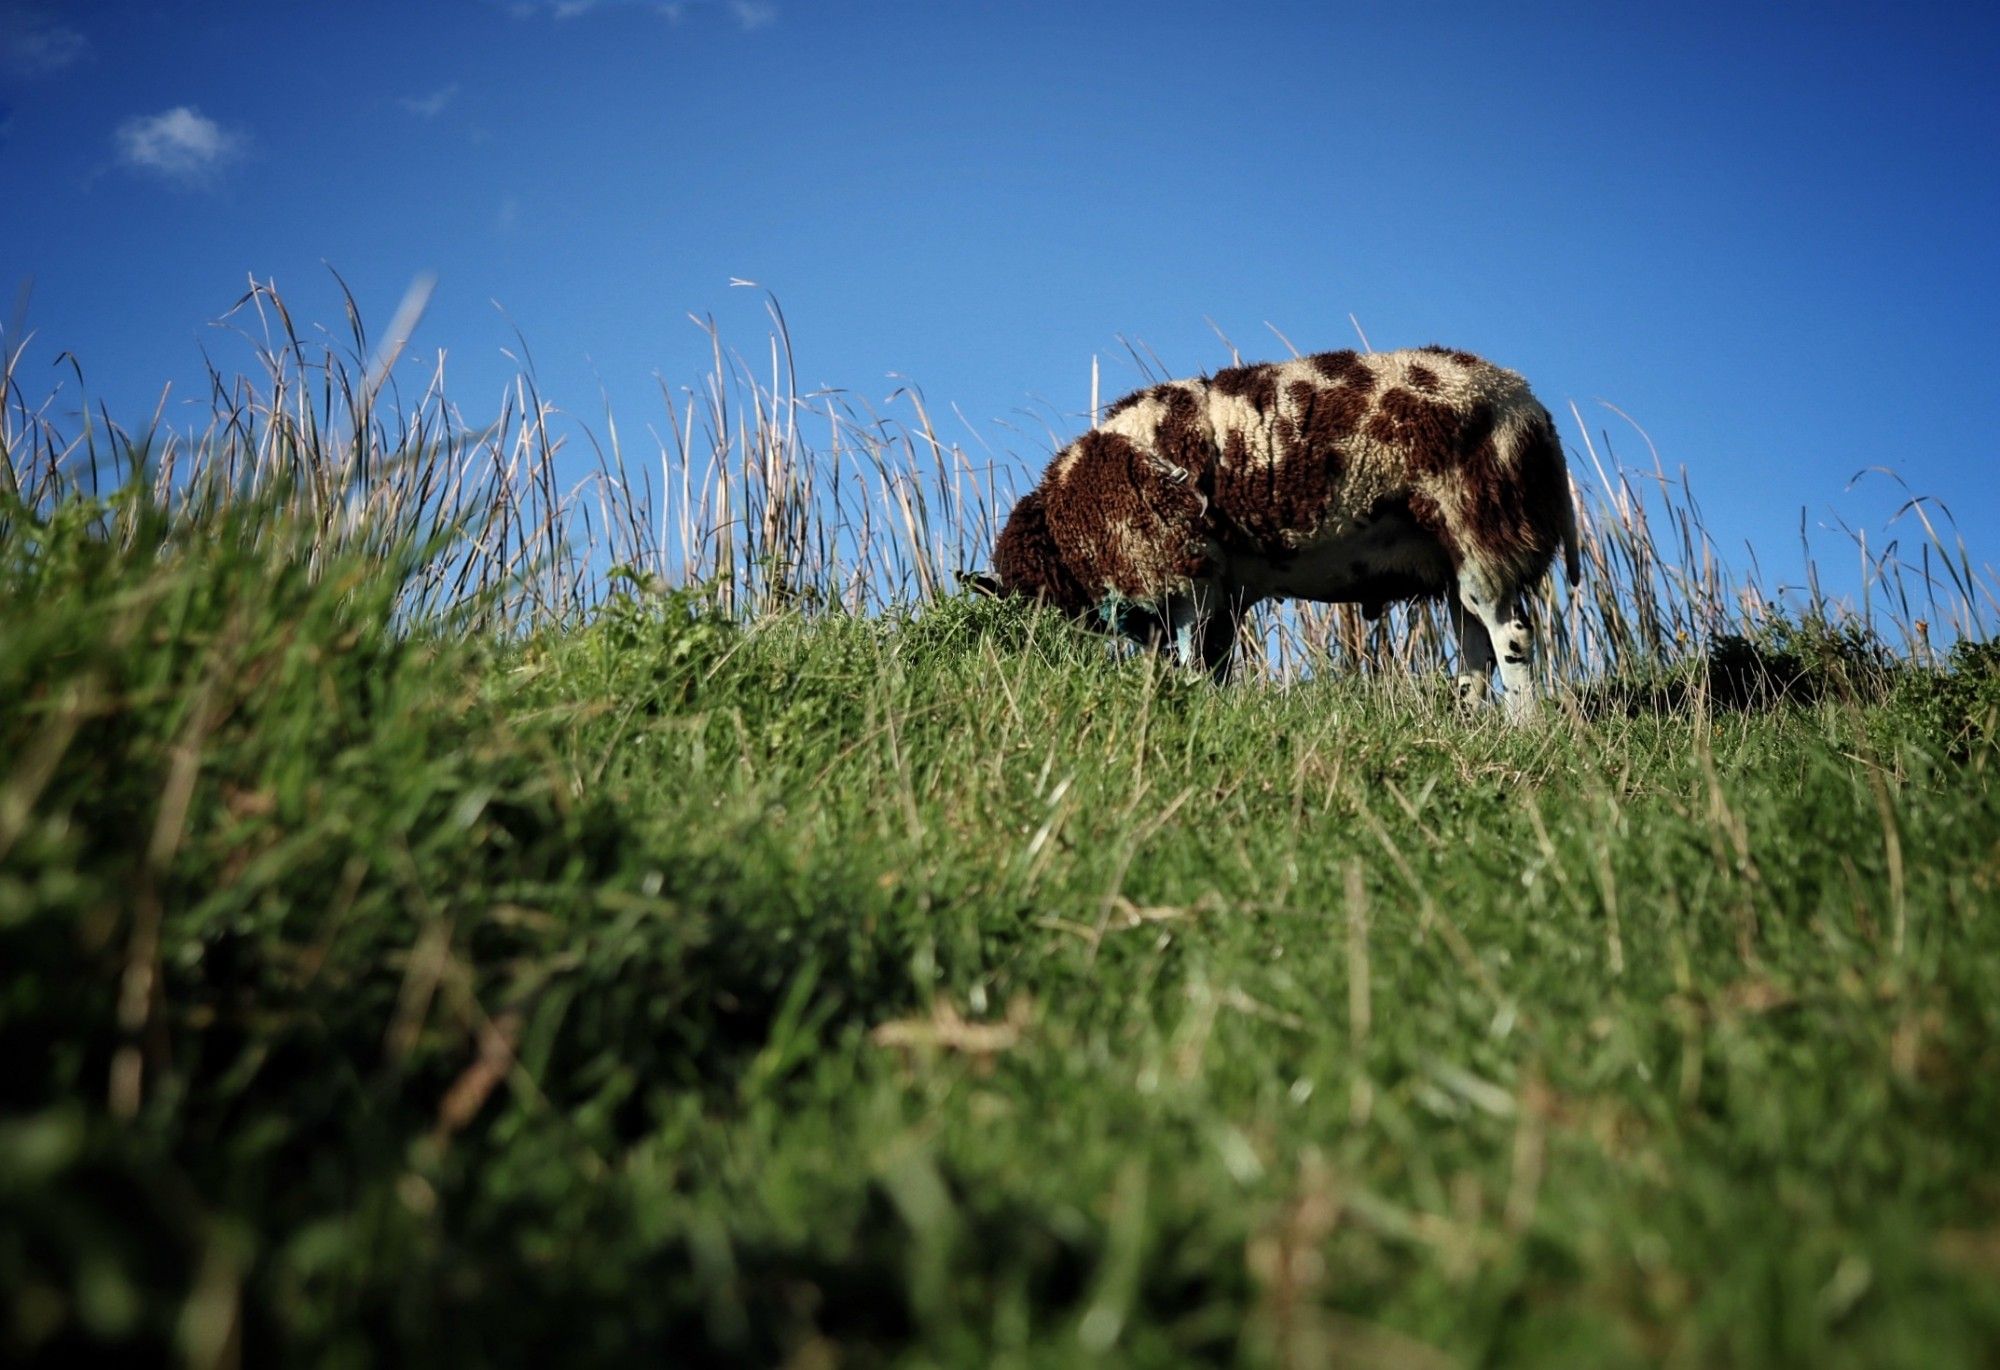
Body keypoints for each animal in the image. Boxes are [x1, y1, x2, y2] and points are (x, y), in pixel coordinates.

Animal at [976, 344, 1584, 716]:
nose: (1025, 669)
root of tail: (1533, 411)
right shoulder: (1215, 588)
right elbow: (1209, 662)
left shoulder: (1180, 570)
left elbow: (1186, 658)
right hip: (1457, 557)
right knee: (1475, 649)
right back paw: (1467, 723)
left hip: (1482, 526)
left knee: (1512, 637)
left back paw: (1526, 729)